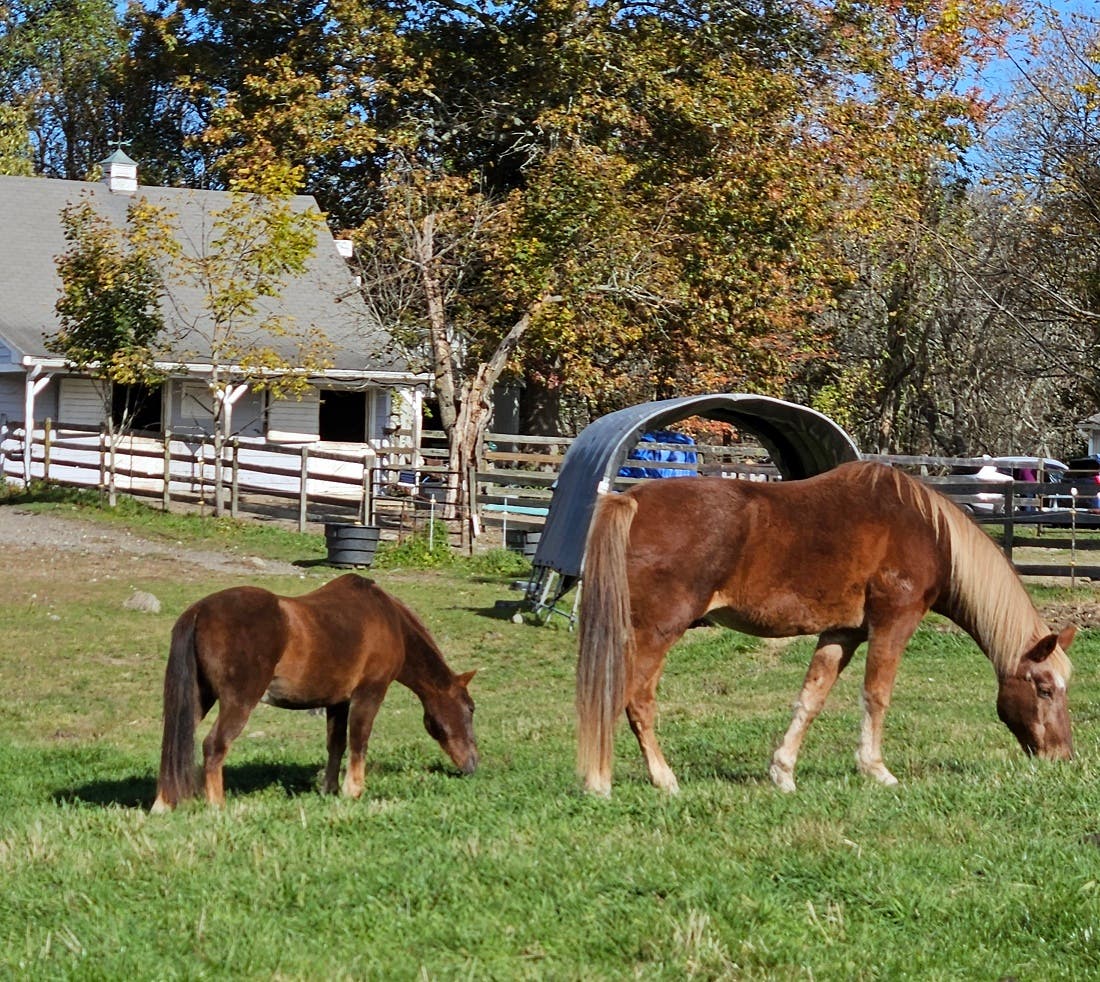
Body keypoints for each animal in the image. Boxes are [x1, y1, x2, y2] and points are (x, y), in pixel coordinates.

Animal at [152, 573, 478, 811]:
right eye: (470, 708)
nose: (473, 764)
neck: (389, 620)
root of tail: (199, 611)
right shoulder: (369, 694)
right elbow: (359, 741)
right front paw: (353, 790)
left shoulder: (338, 702)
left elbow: (336, 745)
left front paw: (330, 789)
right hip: (238, 702)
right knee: (214, 745)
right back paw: (218, 807)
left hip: (198, 699)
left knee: (174, 742)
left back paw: (163, 803)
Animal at [576, 459, 1075, 796]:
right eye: (1044, 688)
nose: (1063, 757)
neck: (929, 531)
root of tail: (630, 499)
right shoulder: (894, 622)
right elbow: (876, 695)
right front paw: (876, 769)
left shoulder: (843, 633)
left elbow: (811, 698)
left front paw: (783, 772)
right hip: (659, 631)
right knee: (635, 699)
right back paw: (637, 780)